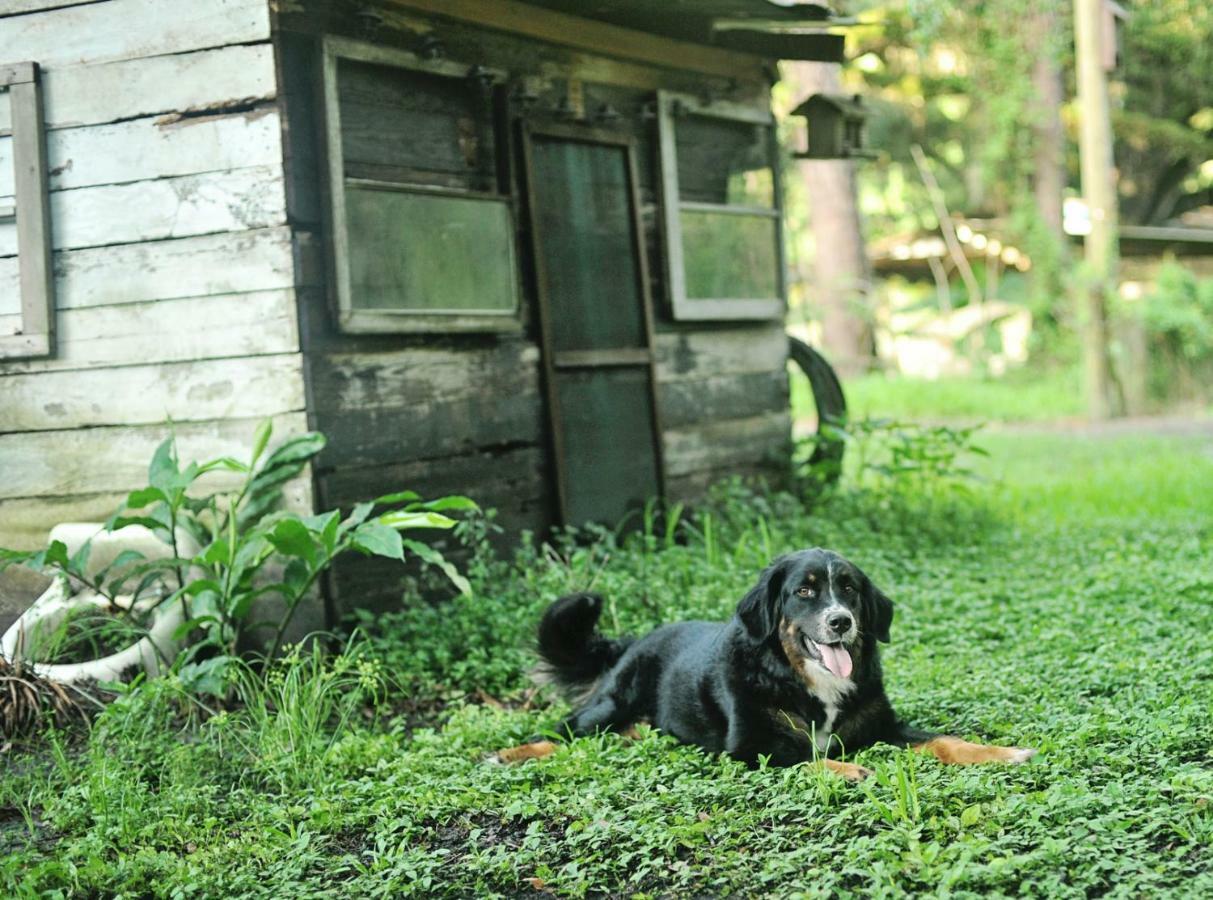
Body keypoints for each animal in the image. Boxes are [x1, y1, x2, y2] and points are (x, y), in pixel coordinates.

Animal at [492, 545, 1033, 781]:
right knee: (562, 731)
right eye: (804, 592)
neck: (803, 679)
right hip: (608, 704)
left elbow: (946, 740)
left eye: (850, 589)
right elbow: (801, 755)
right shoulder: (747, 746)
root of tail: (636, 640)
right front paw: (846, 769)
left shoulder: (883, 727)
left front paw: (1001, 753)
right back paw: (508, 754)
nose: (841, 622)